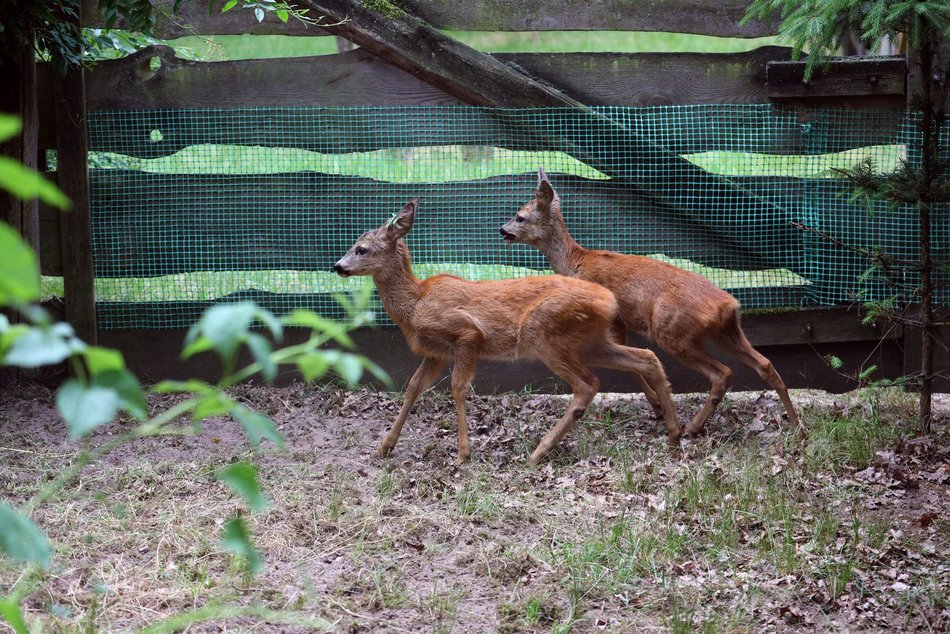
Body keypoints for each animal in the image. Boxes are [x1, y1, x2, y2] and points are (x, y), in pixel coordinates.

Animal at [334, 199, 684, 464]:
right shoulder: (436, 353)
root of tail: (607, 300)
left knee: (588, 384)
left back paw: (537, 452)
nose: (337, 266)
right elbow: (413, 387)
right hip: (590, 342)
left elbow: (458, 388)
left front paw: (463, 452)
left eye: (361, 249)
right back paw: (675, 433)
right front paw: (385, 446)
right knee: (646, 358)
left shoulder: (466, 334)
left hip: (545, 334)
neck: (417, 302)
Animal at [502, 168, 800, 434]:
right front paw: (657, 406)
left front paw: (657, 407)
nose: (503, 230)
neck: (575, 263)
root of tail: (727, 305)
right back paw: (798, 427)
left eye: (520, 217)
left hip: (672, 332)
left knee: (722, 373)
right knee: (764, 364)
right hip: (726, 332)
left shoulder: (613, 319)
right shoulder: (620, 322)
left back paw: (692, 428)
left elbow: (632, 367)